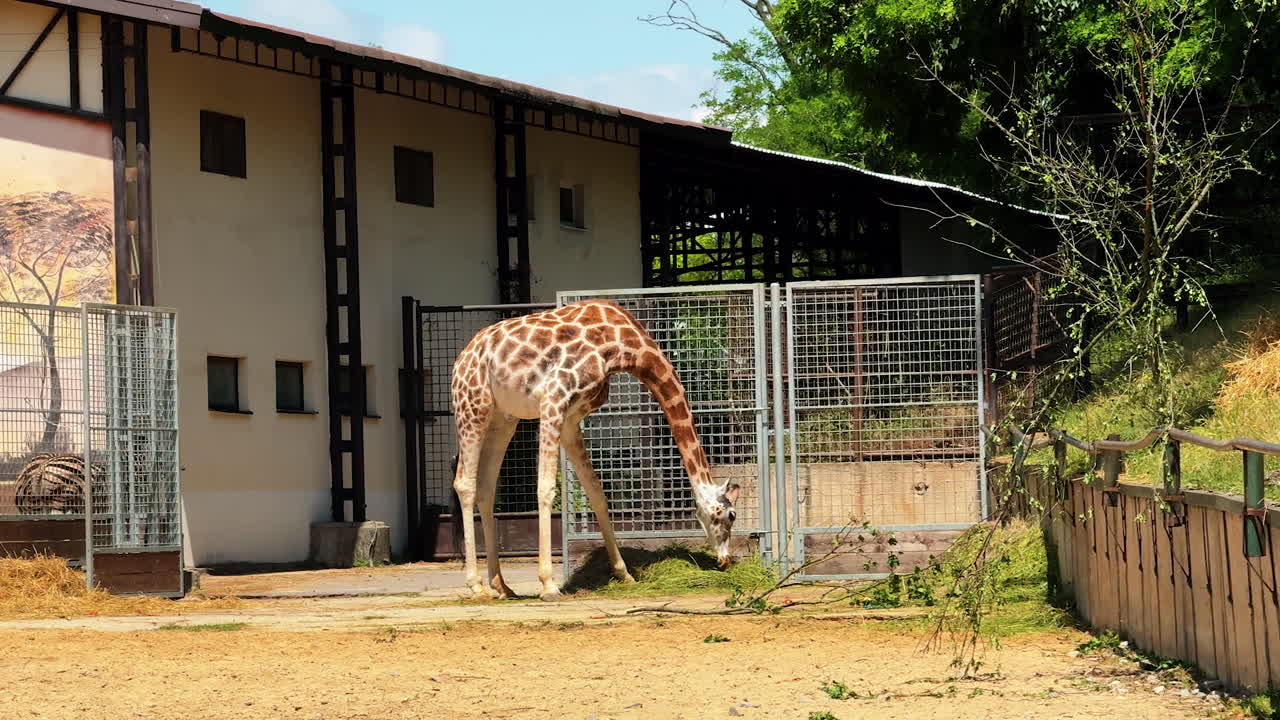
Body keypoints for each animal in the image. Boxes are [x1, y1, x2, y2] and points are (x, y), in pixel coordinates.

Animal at [449, 299, 741, 601]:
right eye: (730, 515)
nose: (725, 560)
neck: (624, 345)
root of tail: (461, 359)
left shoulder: (570, 418)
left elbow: (597, 493)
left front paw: (624, 574)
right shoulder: (553, 400)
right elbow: (545, 488)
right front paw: (548, 584)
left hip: (503, 418)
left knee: (485, 487)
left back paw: (501, 585)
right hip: (473, 405)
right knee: (465, 483)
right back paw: (477, 585)